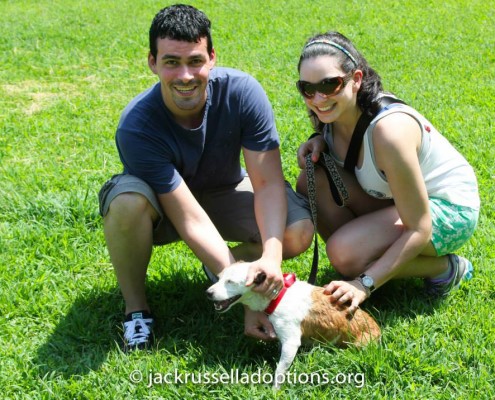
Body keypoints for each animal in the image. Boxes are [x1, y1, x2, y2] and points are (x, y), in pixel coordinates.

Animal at [205, 260, 380, 390]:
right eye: (219, 278)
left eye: (230, 282)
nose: (208, 293)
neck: (277, 296)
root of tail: (378, 330)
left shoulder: (290, 343)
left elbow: (279, 371)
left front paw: (274, 392)